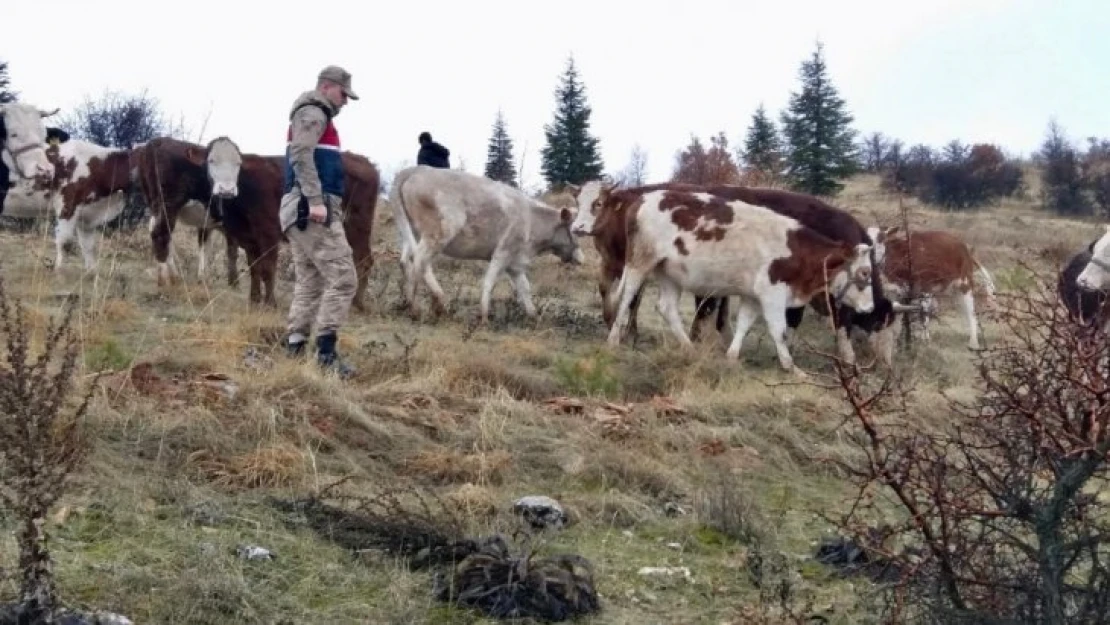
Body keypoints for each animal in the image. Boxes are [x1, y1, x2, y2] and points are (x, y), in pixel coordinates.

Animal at [390, 165, 586, 321]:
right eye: (575, 230)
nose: (581, 259)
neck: (533, 219)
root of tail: (417, 169)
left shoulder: (515, 263)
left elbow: (524, 288)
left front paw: (534, 316)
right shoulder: (503, 252)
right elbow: (489, 282)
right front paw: (483, 316)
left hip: (415, 233)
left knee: (409, 262)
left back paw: (431, 304)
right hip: (439, 232)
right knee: (419, 263)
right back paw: (418, 307)